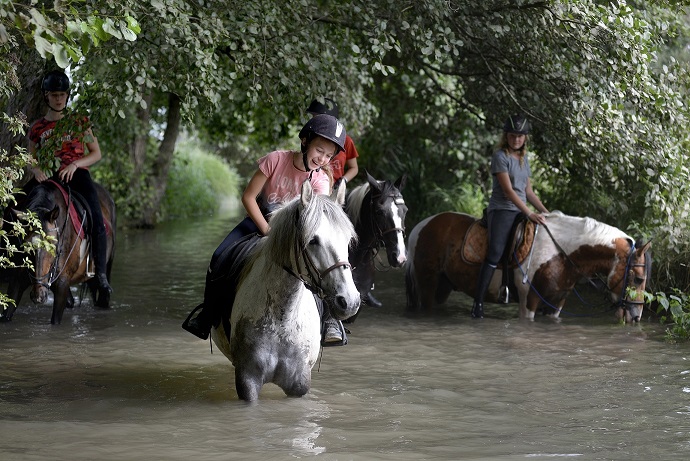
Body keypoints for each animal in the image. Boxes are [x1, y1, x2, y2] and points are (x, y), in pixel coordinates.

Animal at [406, 210, 652, 322]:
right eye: (638, 279)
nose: (636, 317)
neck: (561, 254)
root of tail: (420, 226)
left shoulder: (555, 305)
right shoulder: (529, 302)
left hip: (443, 287)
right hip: (427, 285)